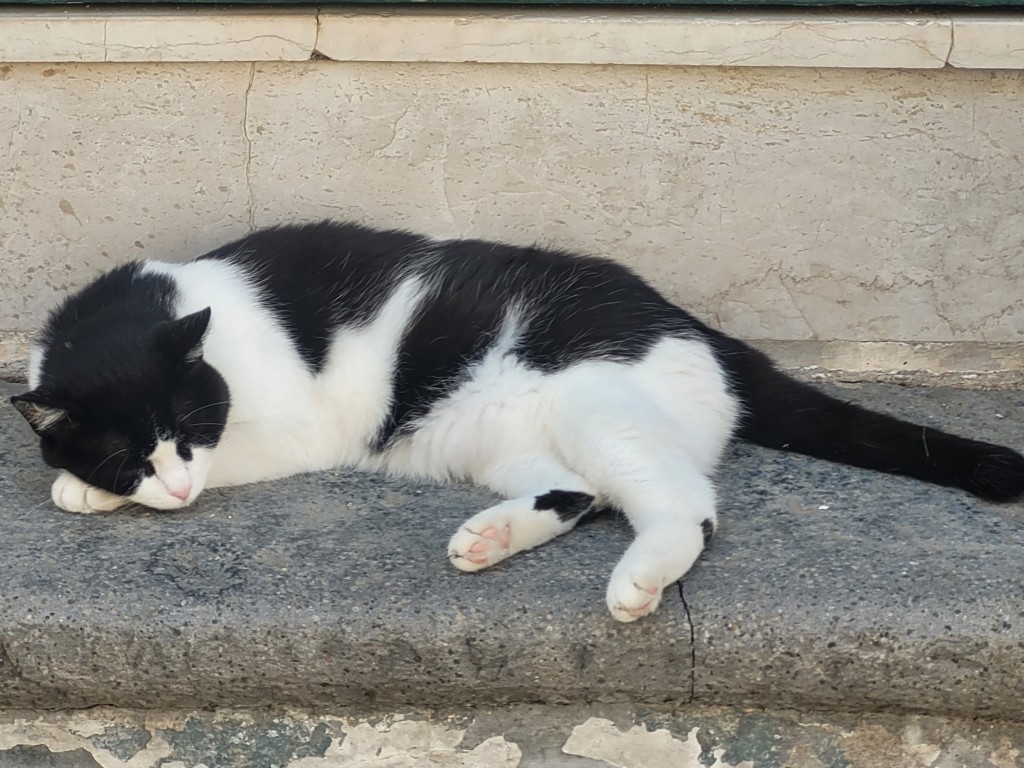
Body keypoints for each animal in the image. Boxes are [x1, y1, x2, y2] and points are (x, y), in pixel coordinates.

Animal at [9, 219, 1024, 622]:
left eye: (186, 420)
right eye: (123, 445)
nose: (173, 482)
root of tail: (700, 328)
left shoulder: (288, 428)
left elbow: (227, 458)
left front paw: (86, 492)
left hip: (597, 405)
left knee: (685, 503)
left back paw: (641, 580)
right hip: (506, 440)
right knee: (576, 493)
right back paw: (491, 537)